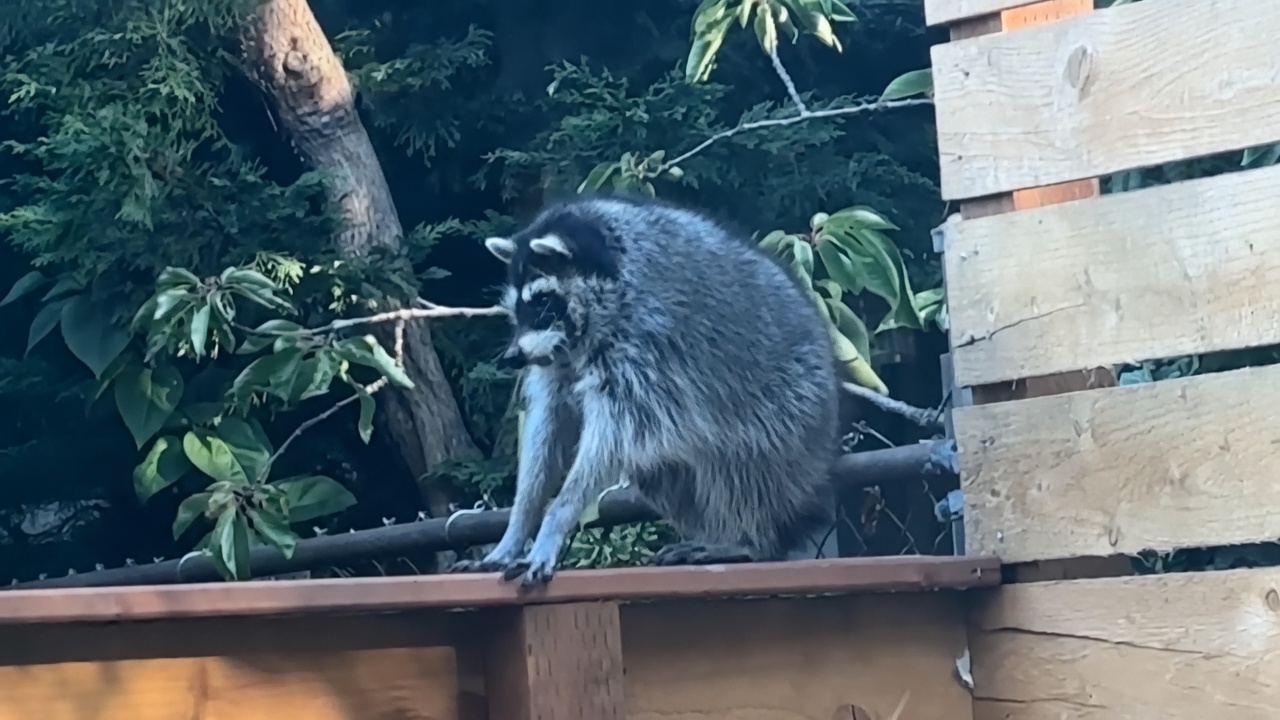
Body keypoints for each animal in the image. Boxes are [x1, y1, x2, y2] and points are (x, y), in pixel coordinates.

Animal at [449, 195, 841, 587]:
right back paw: (714, 534)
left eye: (543, 302)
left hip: (789, 406)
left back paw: (745, 539)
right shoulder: (557, 362)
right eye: (516, 307)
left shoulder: (647, 343)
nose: (513, 357)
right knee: (662, 472)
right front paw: (516, 530)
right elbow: (548, 430)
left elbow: (611, 436)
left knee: (744, 467)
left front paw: (556, 518)